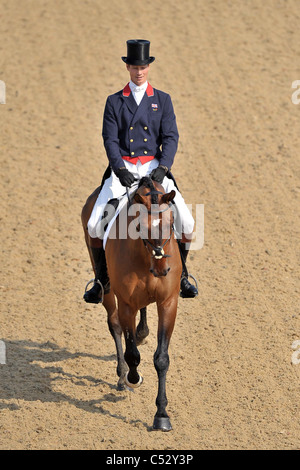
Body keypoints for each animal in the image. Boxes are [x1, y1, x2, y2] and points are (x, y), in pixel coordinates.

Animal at [81, 175, 182, 430]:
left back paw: (142, 332)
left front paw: (161, 415)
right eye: (139, 227)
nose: (162, 270)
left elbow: (162, 358)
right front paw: (133, 378)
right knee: (114, 325)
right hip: (107, 289)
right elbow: (132, 354)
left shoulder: (168, 303)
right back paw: (121, 376)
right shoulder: (126, 303)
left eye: (171, 223)